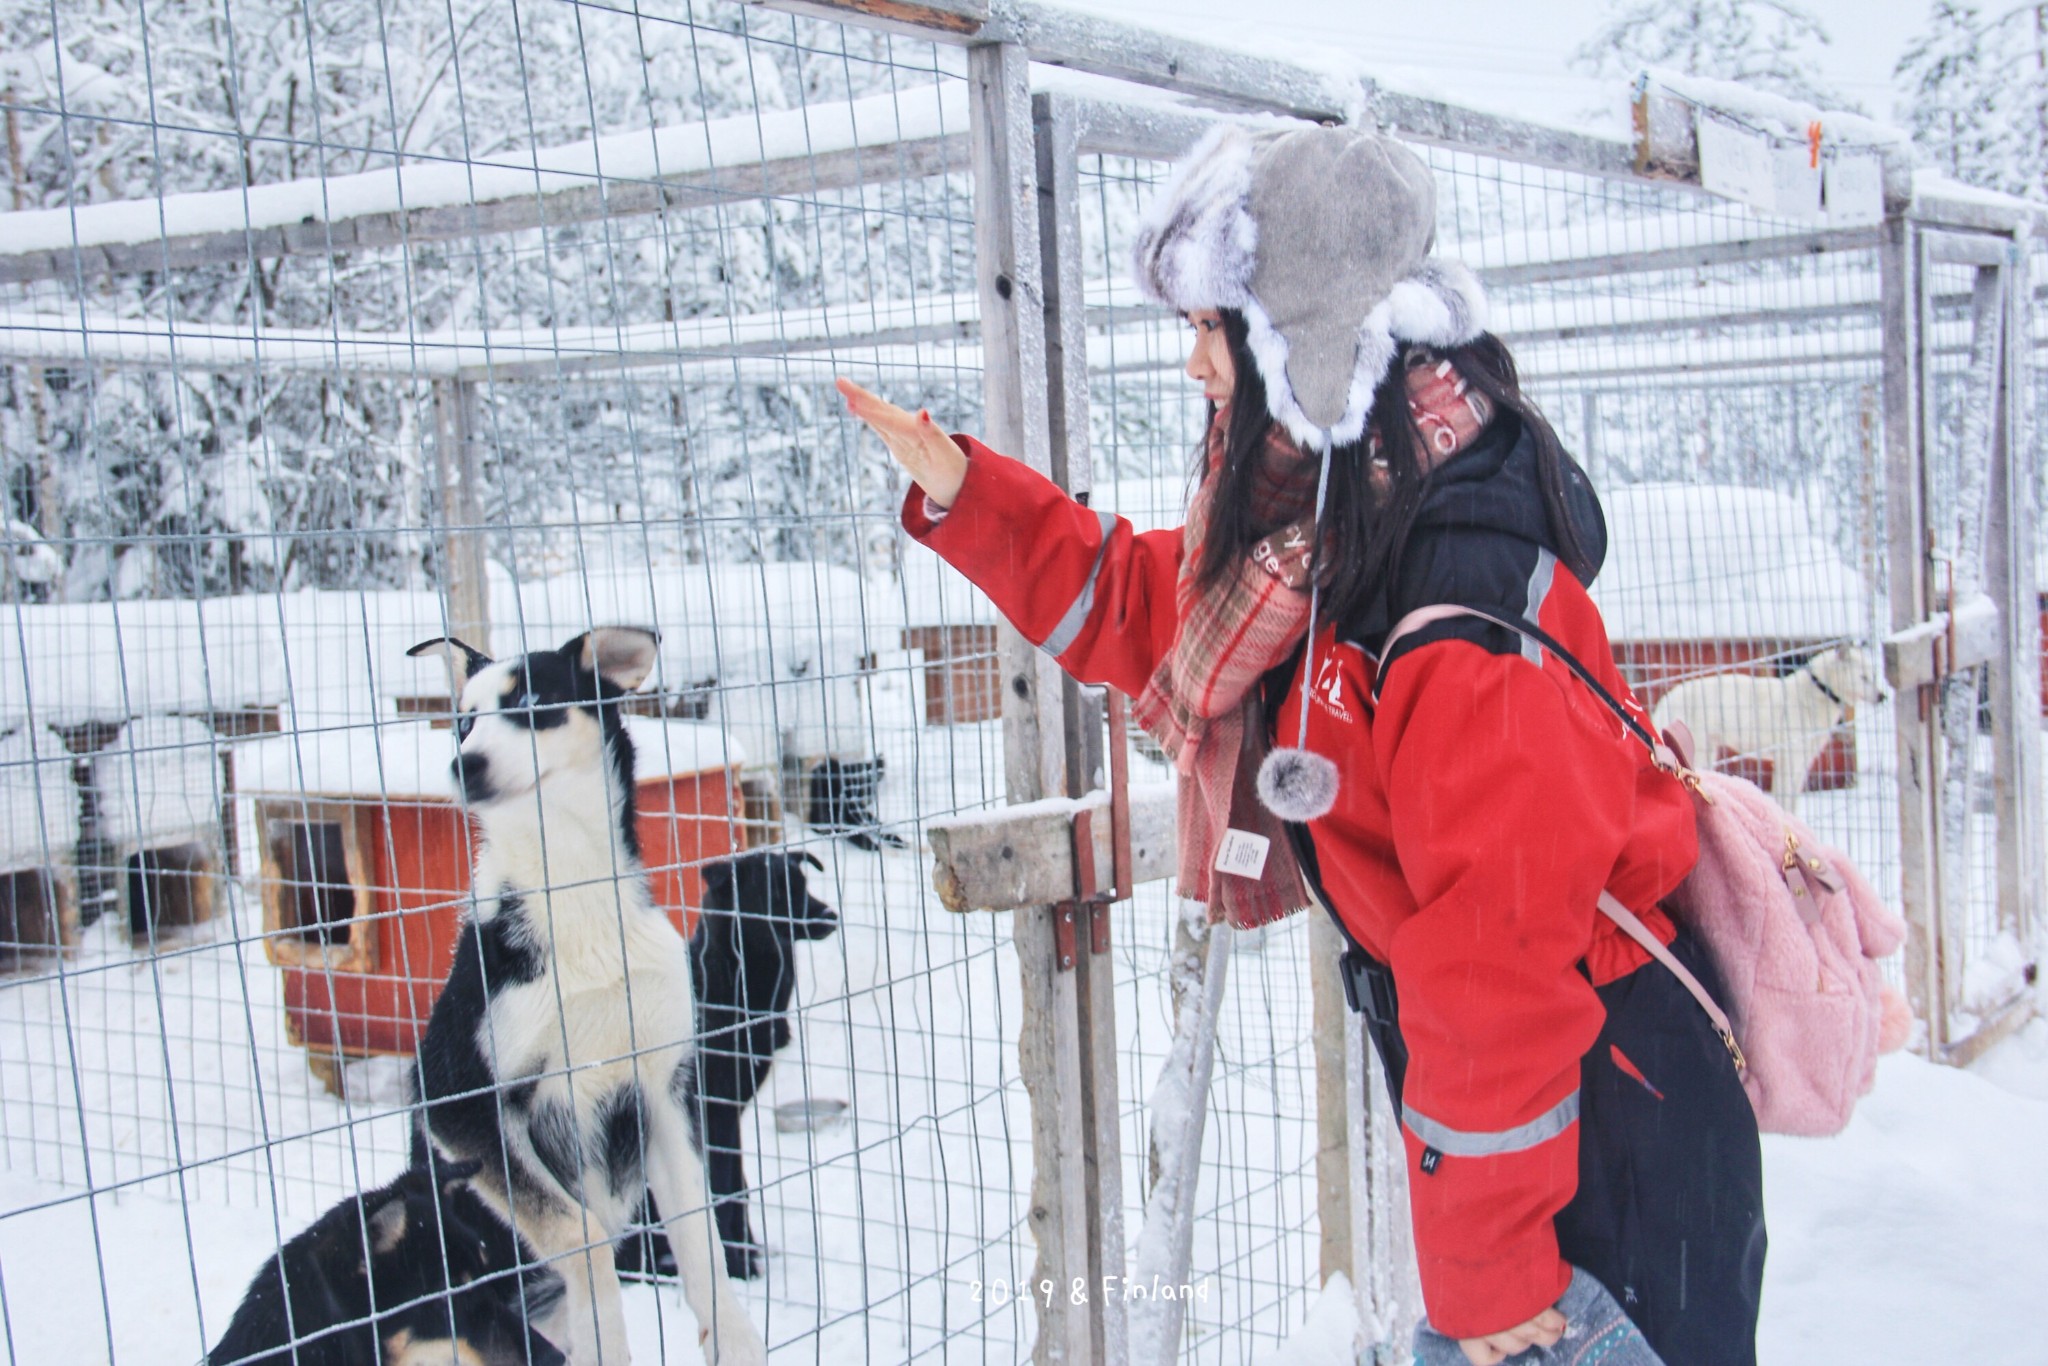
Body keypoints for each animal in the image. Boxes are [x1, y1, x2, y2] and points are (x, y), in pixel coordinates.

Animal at [1654, 643, 1875, 810]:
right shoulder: (1789, 759)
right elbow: (1783, 798)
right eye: (1864, 677)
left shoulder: (1801, 762)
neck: (1817, 692)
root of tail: (1665, 700)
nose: (1881, 696)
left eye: (1872, 675)